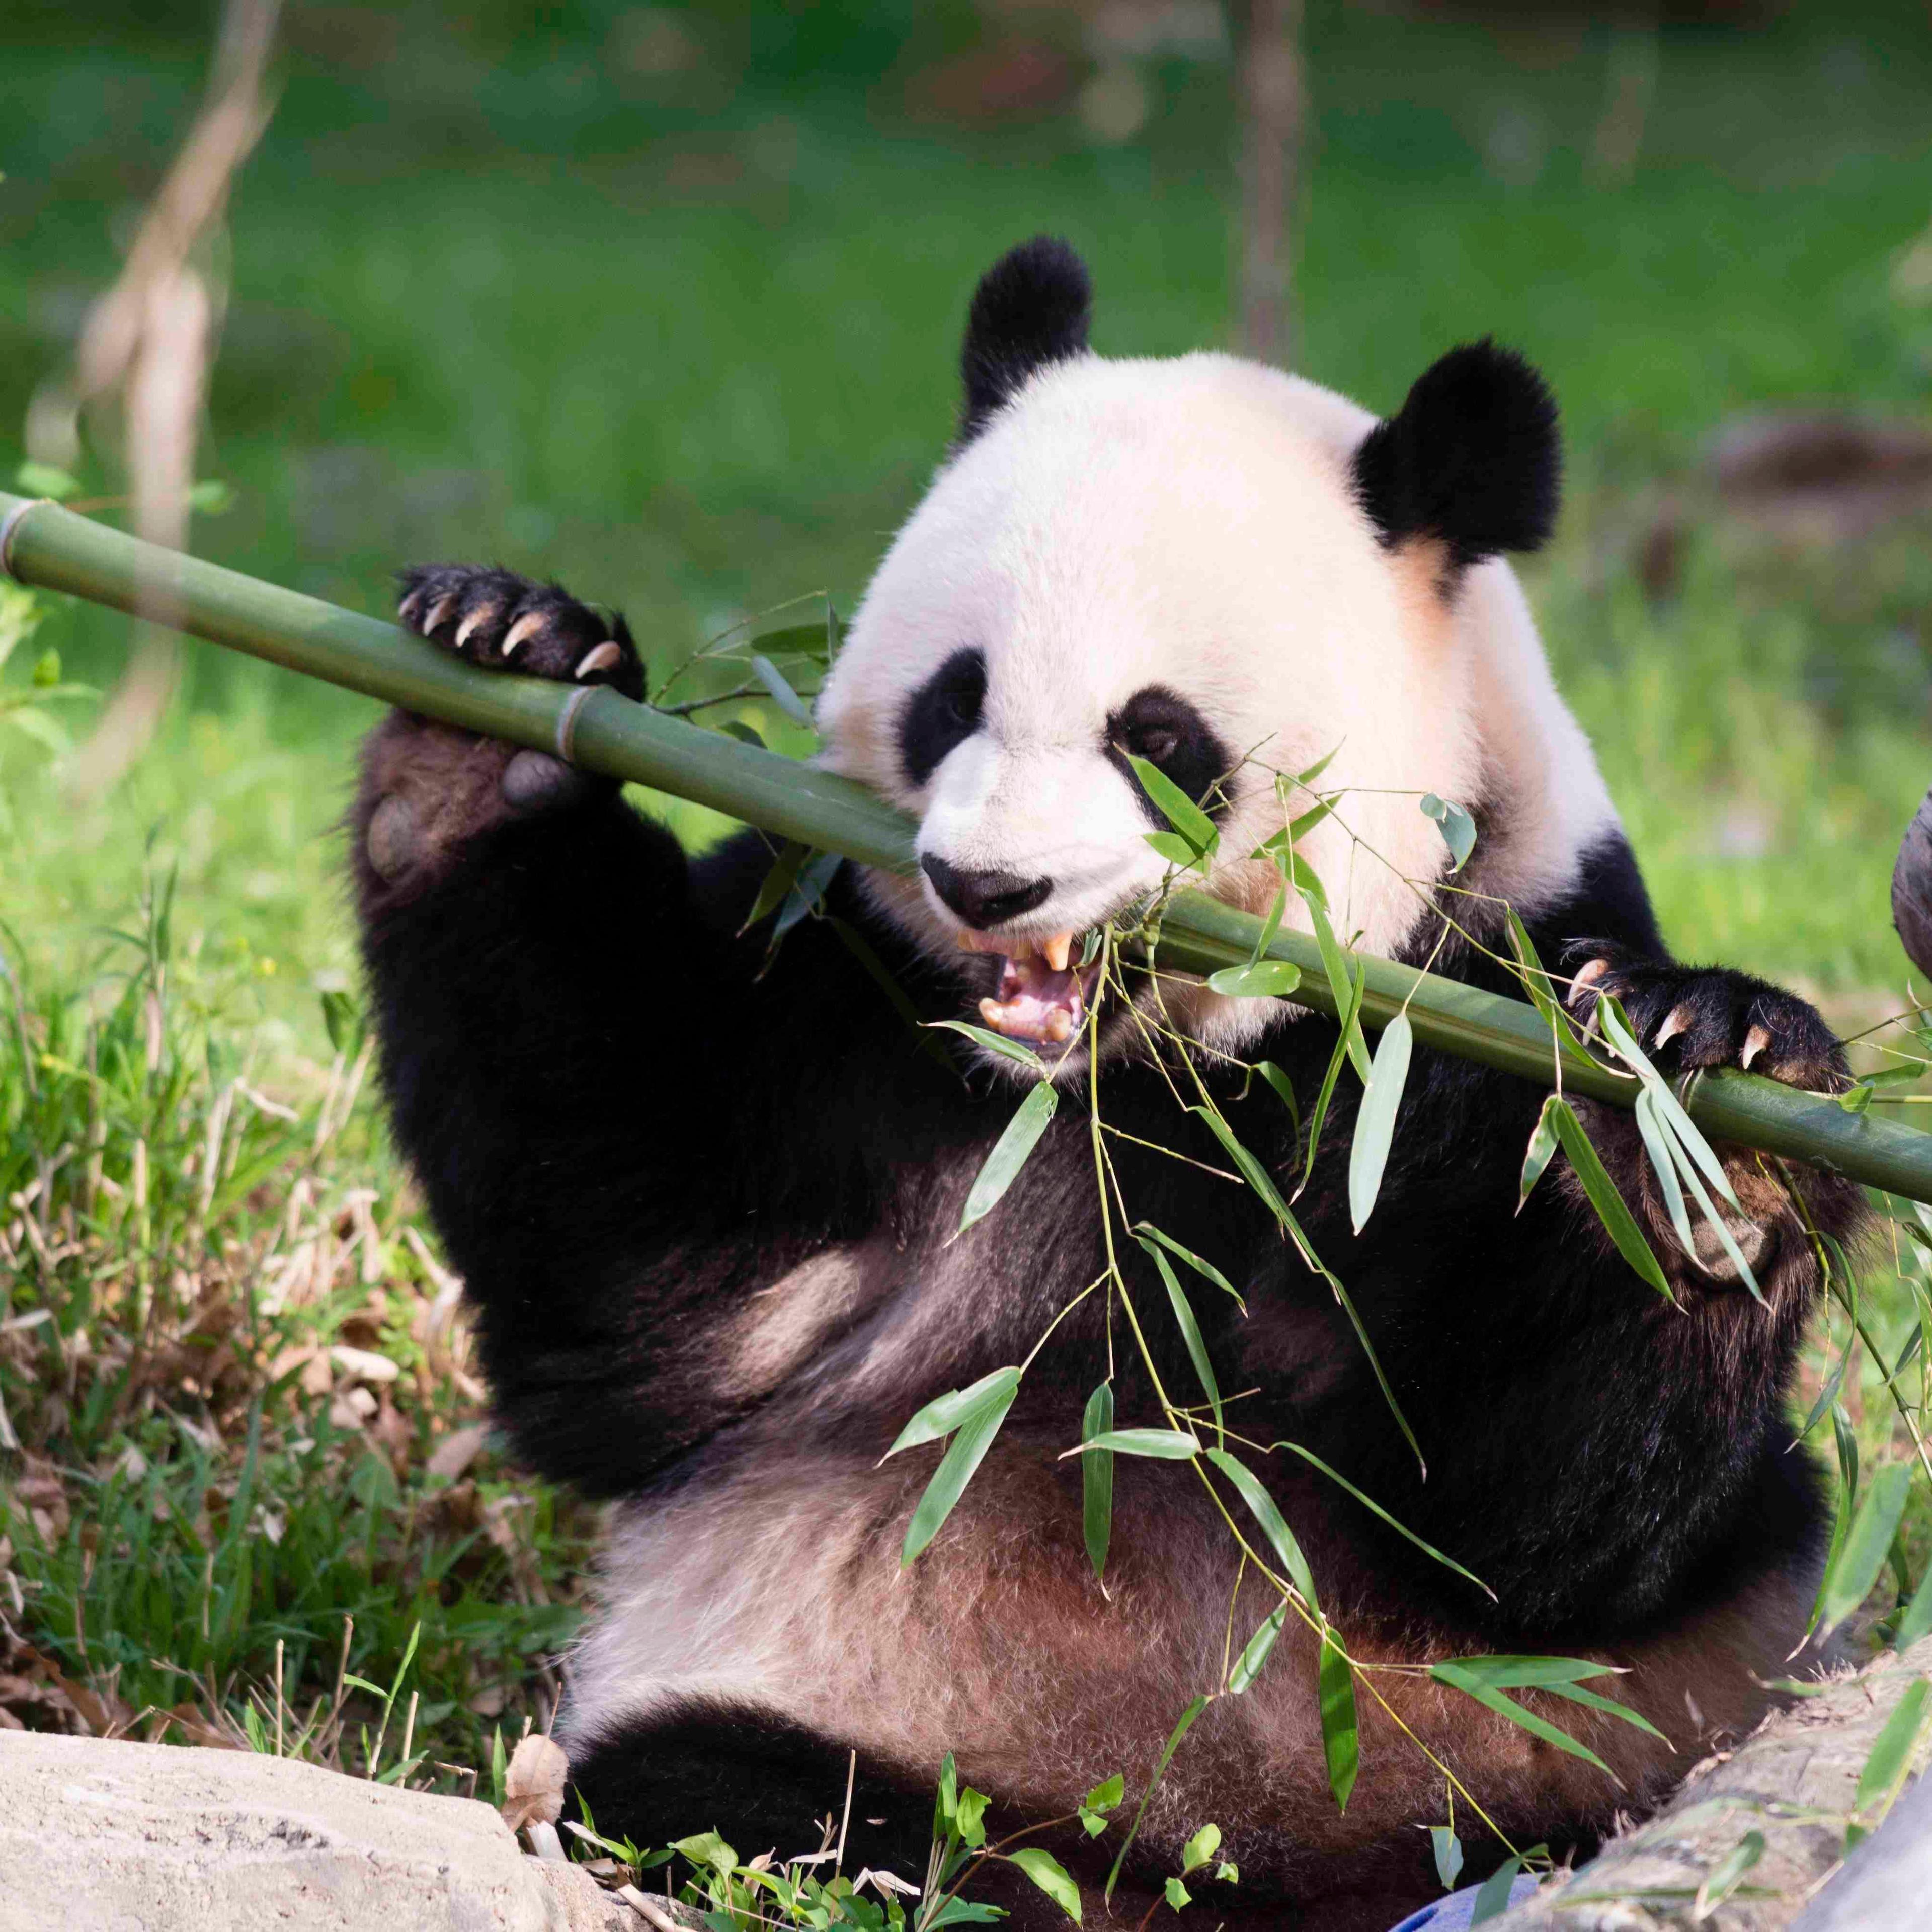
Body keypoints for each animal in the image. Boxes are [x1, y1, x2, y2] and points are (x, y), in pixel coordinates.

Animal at [353, 239, 1863, 1931]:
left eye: (1156, 736)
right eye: (953, 697)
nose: (988, 883)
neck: (1131, 1079)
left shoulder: (1479, 987)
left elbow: (1527, 1533)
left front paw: (1702, 1110)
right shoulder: (850, 993)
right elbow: (652, 1306)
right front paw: (500, 695)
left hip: (1587, 1757)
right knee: (732, 1787)